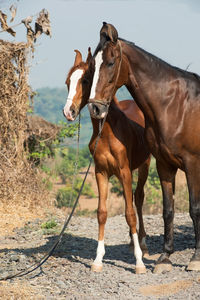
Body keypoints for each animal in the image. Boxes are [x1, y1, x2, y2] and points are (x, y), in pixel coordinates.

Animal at [63, 48, 151, 274]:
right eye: (68, 81)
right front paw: (97, 260)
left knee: (138, 199)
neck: (108, 132)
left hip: (144, 165)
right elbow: (102, 212)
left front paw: (139, 263)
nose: (68, 112)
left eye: (86, 80)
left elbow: (130, 213)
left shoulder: (125, 171)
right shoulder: (101, 172)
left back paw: (143, 245)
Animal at [88, 22, 200, 274]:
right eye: (92, 65)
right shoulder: (165, 165)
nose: (96, 109)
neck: (174, 105)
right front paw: (165, 258)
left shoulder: (192, 165)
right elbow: (168, 211)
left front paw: (196, 259)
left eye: (110, 63)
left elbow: (194, 208)